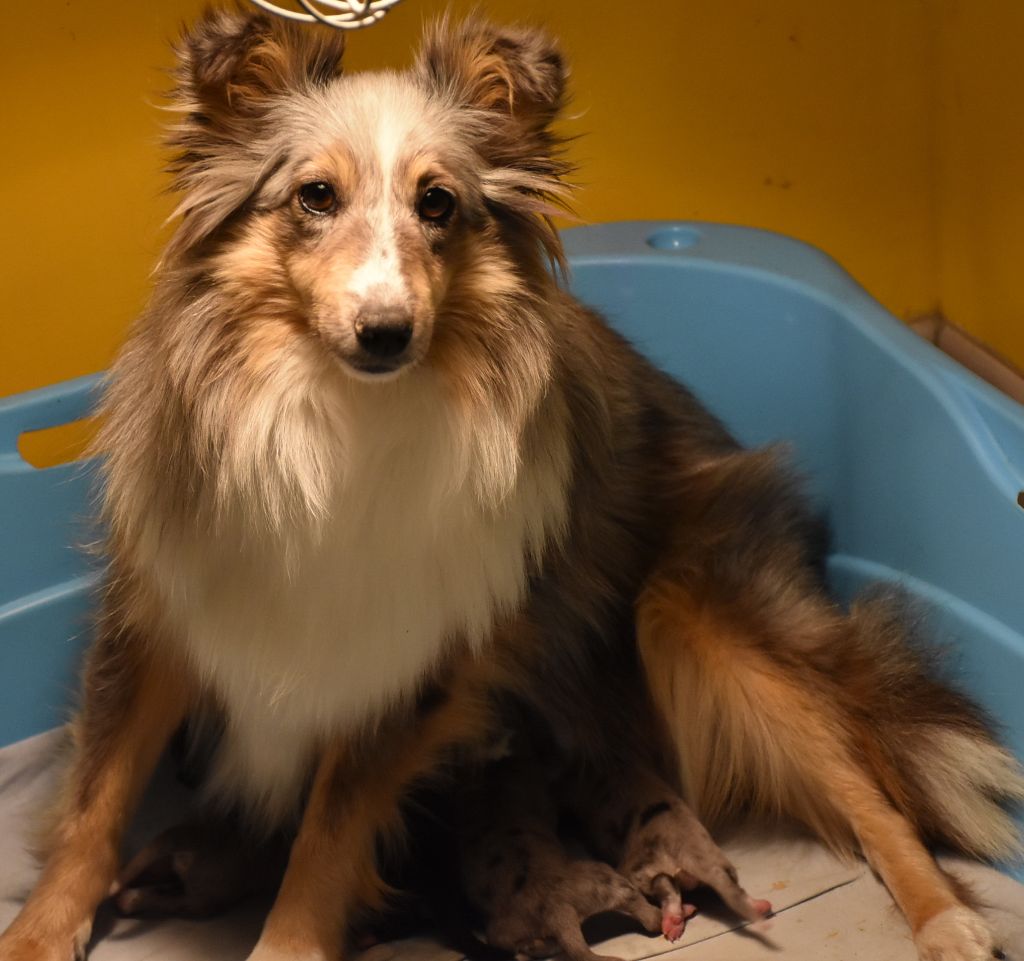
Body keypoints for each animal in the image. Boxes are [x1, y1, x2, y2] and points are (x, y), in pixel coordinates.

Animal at [4, 7, 1019, 958]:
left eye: (439, 202)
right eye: (315, 196)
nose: (387, 333)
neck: (337, 418)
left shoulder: (409, 665)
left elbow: (326, 838)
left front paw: (285, 945)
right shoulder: (158, 614)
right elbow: (96, 798)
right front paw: (37, 934)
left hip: (699, 613)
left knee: (872, 791)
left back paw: (949, 921)